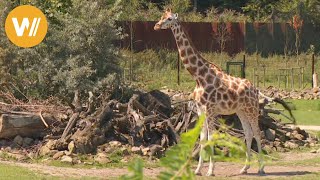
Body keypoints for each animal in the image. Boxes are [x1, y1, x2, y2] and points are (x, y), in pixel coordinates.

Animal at [155, 8, 264, 176]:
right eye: (161, 17)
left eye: (169, 19)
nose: (156, 25)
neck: (198, 76)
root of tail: (255, 89)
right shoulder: (201, 110)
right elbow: (202, 138)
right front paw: (198, 170)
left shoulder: (211, 110)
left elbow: (211, 137)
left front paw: (211, 170)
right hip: (241, 110)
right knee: (248, 132)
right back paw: (244, 168)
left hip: (252, 109)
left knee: (257, 132)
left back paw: (261, 168)